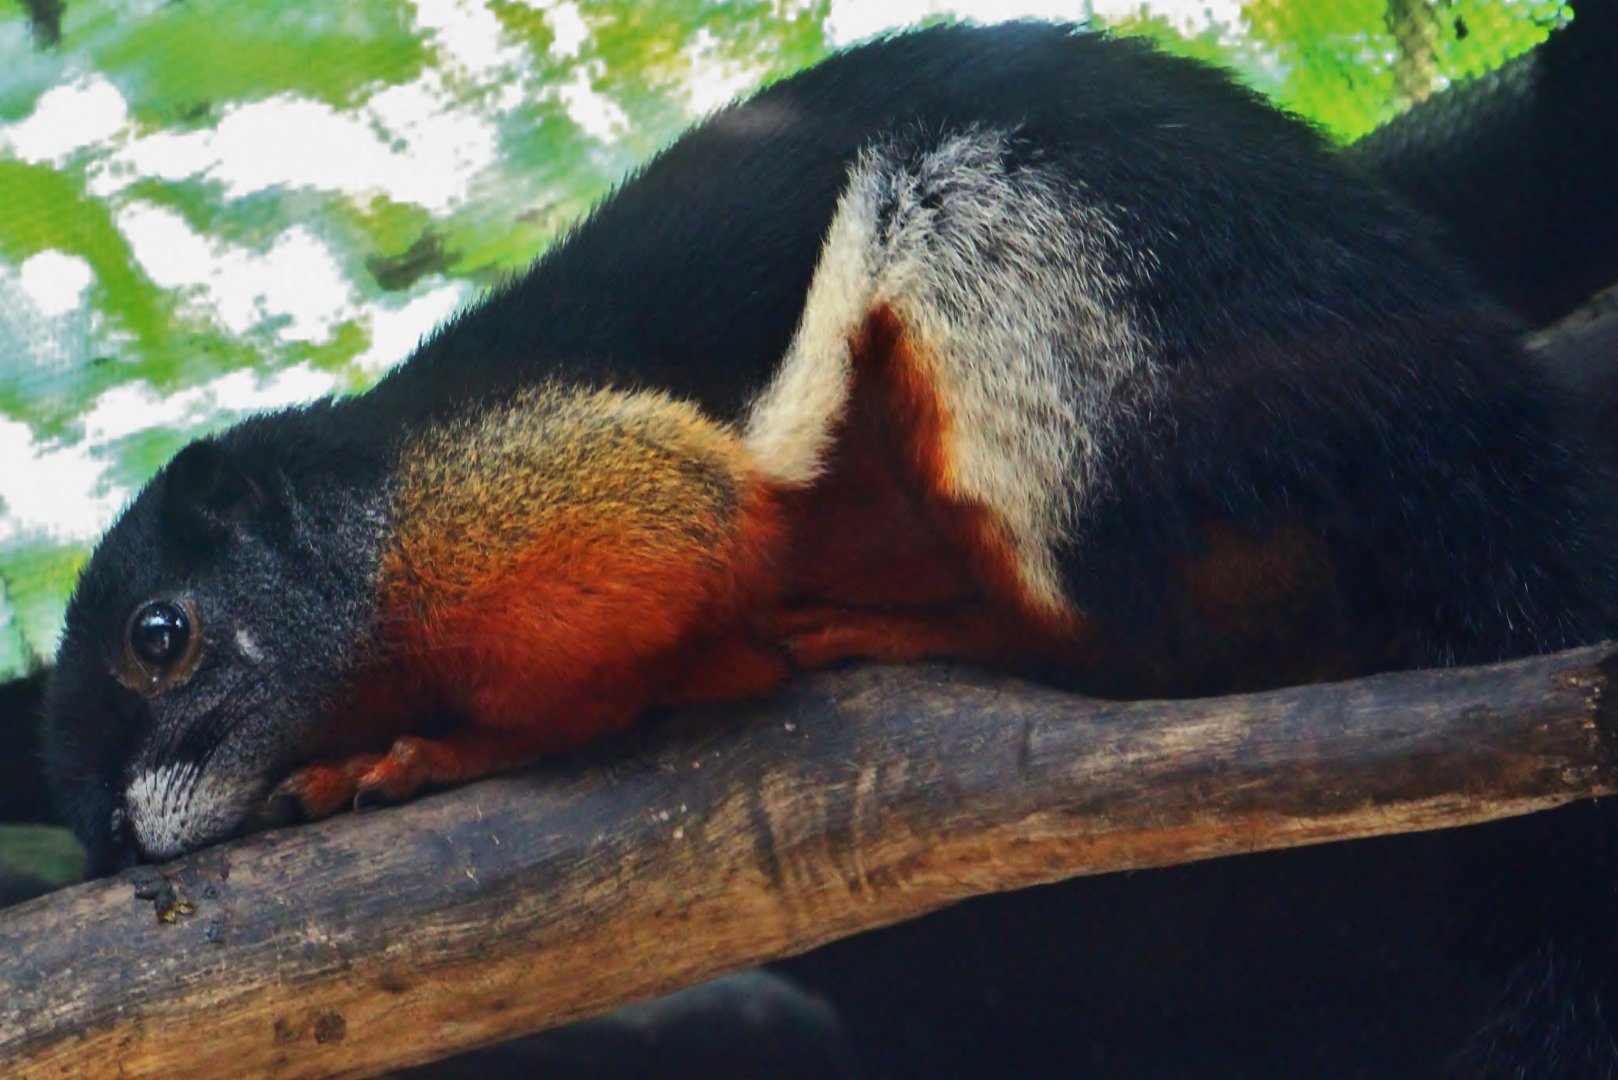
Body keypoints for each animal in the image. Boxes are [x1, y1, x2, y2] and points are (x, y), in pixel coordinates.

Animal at [42, 22, 1618, 876]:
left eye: (160, 638)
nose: (115, 832)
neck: (366, 525)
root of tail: (1459, 423)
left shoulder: (536, 494)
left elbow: (645, 587)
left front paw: (433, 752)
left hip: (1057, 283)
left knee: (1162, 653)